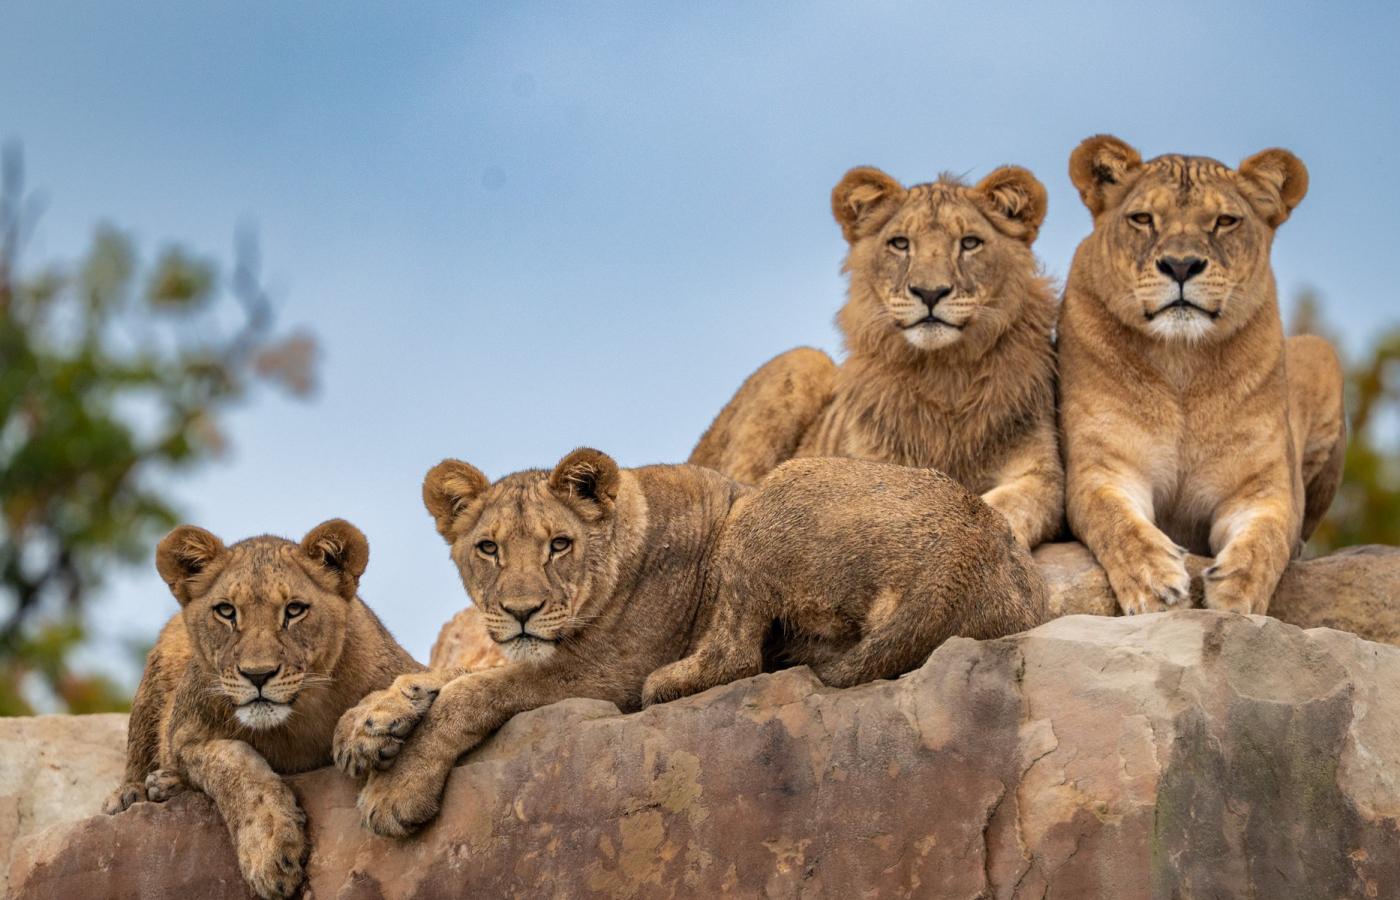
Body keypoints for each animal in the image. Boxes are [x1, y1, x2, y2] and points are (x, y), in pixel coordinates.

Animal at [102, 520, 422, 900]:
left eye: (294, 610)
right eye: (226, 611)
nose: (258, 675)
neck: (299, 720)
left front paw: (370, 733)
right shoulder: (182, 737)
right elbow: (235, 767)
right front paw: (270, 853)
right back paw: (136, 791)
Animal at [331, 449, 1050, 838]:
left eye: (559, 544)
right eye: (488, 549)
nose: (522, 611)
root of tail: (966, 551)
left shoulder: (608, 670)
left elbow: (477, 690)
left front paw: (395, 793)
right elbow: (447, 679)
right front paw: (369, 726)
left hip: (768, 498)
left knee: (736, 654)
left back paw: (671, 683)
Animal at [689, 164, 1063, 548]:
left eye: (970, 243)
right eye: (900, 243)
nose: (930, 292)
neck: (943, 372)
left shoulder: (1043, 476)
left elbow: (1009, 507)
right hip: (803, 360)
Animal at [1059, 134, 1346, 617]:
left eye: (1225, 221)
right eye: (1142, 219)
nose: (1180, 265)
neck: (1182, 361)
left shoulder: (1263, 488)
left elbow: (1267, 539)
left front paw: (1237, 593)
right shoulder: (1103, 469)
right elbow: (1115, 522)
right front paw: (1154, 581)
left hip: (1321, 355)